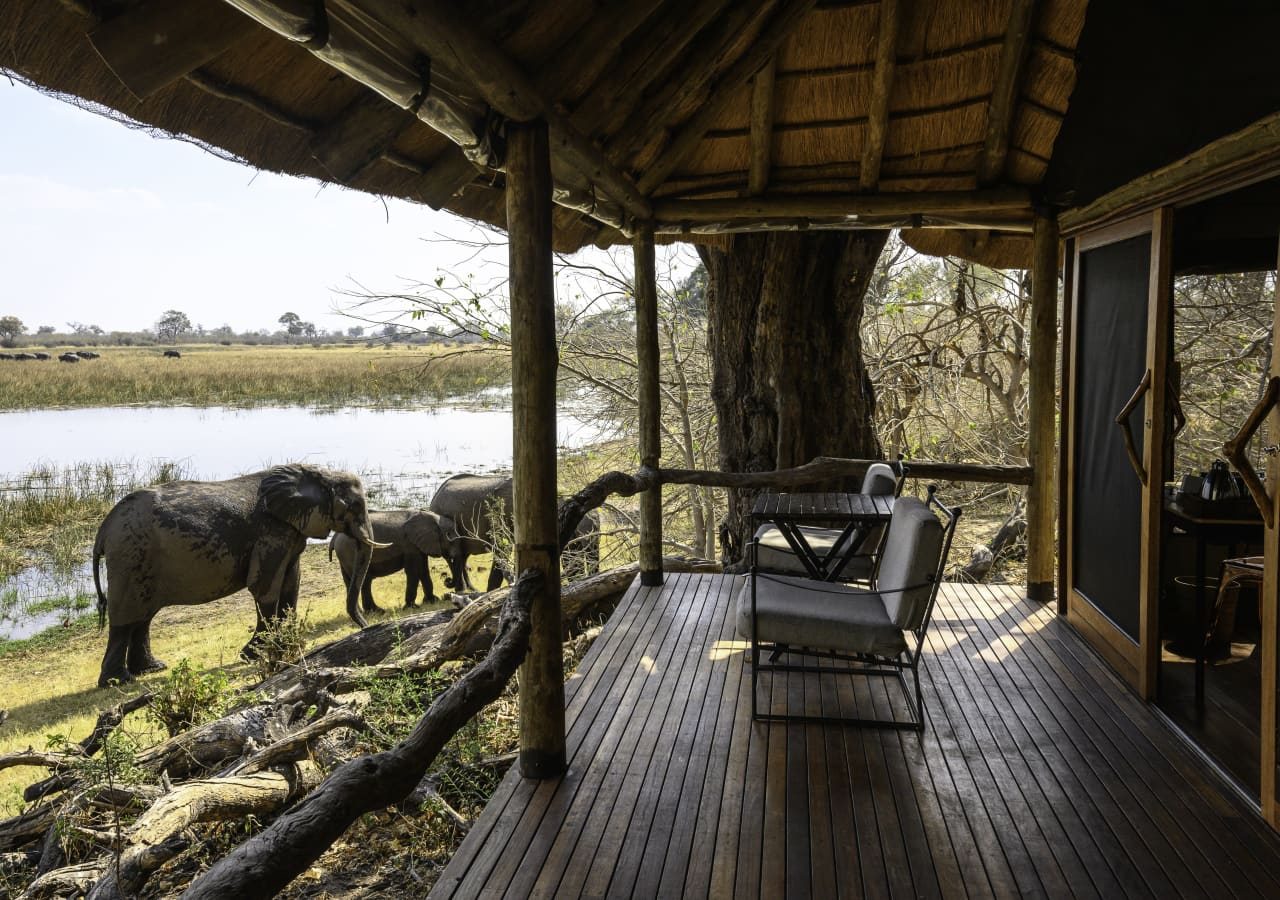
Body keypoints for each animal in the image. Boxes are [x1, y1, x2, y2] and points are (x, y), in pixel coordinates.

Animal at [91, 466, 384, 691]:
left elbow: (292, 584)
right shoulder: (270, 532)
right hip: (131, 556)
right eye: (354, 506)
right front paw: (253, 654)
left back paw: (151, 669)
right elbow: (265, 587)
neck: (312, 472)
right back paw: (118, 682)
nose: (365, 626)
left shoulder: (290, 531)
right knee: (125, 619)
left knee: (143, 617)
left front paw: (285, 645)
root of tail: (103, 529)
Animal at [330, 506, 460, 611]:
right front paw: (411, 607)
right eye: (450, 540)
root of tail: (335, 537)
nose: (447, 580)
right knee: (364, 581)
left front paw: (433, 601)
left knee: (351, 582)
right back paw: (376, 611)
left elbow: (423, 571)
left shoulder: (418, 545)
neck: (431, 517)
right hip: (350, 553)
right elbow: (413, 572)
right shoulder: (409, 545)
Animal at [424, 471, 593, 591]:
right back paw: (463, 590)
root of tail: (435, 495)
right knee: (453, 555)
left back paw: (470, 589)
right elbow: (500, 550)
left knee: (463, 556)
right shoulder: (499, 517)